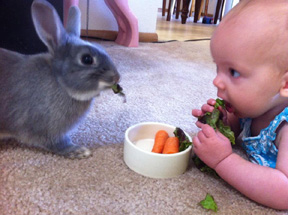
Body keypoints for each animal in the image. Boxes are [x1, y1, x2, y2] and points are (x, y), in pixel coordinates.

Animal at [0, 0, 120, 158]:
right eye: (87, 59)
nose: (116, 77)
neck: (59, 83)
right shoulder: (45, 130)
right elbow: (58, 143)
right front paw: (78, 151)